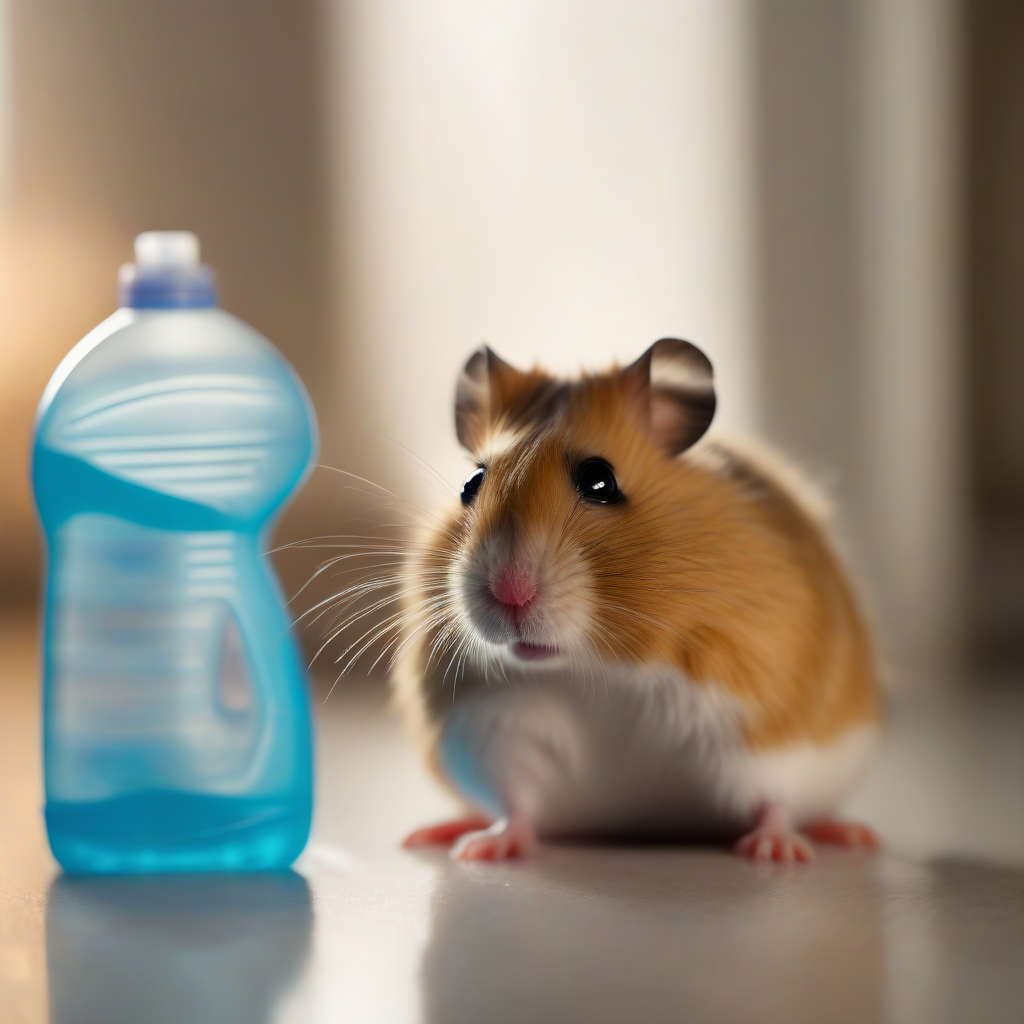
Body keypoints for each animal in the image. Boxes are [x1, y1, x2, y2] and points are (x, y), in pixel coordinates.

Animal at [392, 339, 881, 862]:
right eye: (471, 484)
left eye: (600, 482)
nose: (509, 594)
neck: (597, 671)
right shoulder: (496, 731)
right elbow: (516, 804)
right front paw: (481, 851)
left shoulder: (762, 724)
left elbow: (773, 801)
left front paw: (777, 854)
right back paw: (436, 832)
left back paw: (852, 835)